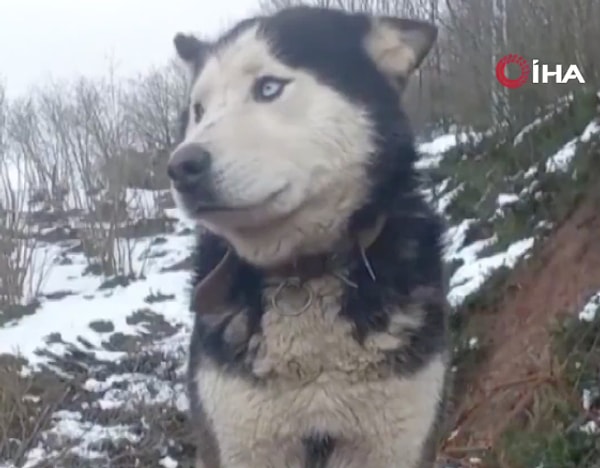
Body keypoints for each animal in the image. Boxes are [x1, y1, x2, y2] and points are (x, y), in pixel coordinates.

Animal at [169, 4, 450, 468]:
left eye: (268, 87)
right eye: (199, 109)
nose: (180, 167)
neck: (303, 271)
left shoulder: (396, 440)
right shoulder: (238, 442)